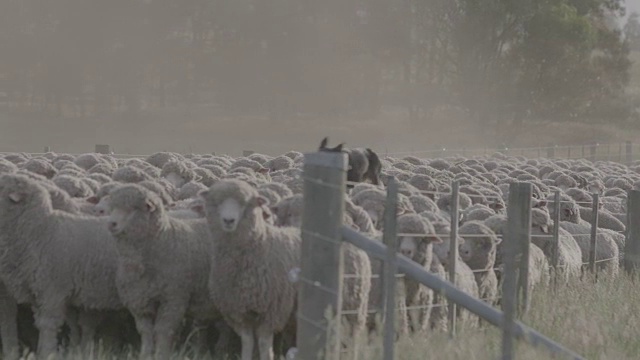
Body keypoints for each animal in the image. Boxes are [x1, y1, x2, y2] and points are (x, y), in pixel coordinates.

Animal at [107, 184, 222, 358]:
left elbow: (163, 331)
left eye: (133, 208)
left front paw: (161, 354)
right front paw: (145, 355)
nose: (111, 223)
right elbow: (145, 332)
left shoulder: (173, 299)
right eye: (112, 207)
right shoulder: (140, 302)